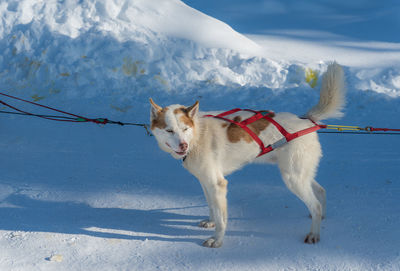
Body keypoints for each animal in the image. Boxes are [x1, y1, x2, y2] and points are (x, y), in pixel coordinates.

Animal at [148, 63, 346, 249]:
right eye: (169, 130)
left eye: (185, 129)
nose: (183, 145)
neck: (197, 134)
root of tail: (306, 120)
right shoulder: (205, 182)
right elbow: (212, 207)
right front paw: (211, 222)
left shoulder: (218, 185)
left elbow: (221, 219)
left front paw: (217, 239)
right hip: (300, 174)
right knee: (321, 192)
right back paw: (320, 217)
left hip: (293, 178)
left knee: (315, 204)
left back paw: (314, 233)